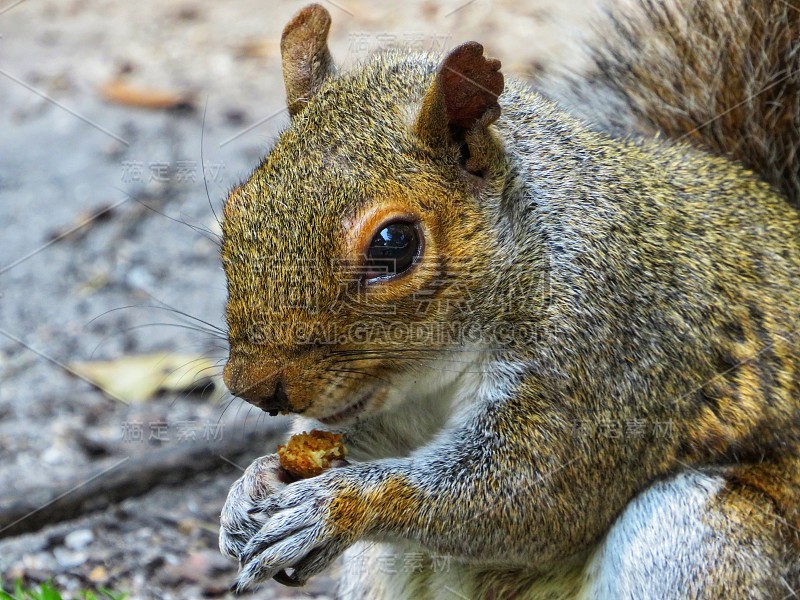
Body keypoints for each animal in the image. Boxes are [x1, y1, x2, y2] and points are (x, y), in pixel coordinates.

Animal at [216, 2, 800, 596]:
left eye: (394, 243)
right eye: (234, 209)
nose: (254, 388)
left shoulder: (606, 357)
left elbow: (527, 499)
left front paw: (336, 505)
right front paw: (252, 484)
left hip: (700, 535)